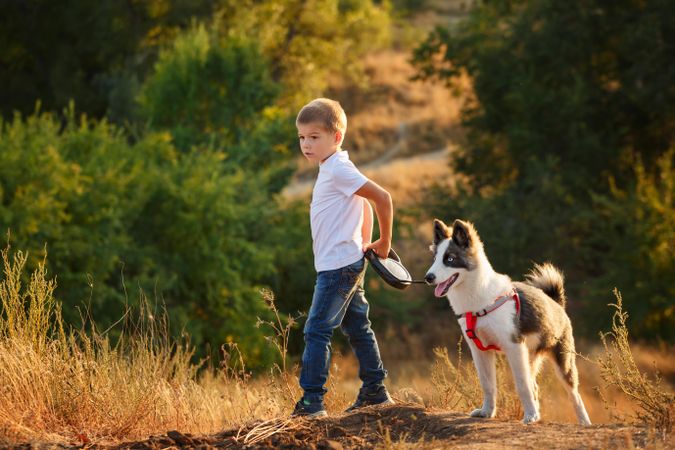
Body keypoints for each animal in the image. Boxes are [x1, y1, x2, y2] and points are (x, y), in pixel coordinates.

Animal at [428, 219, 592, 426]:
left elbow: (521, 385)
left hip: (562, 360)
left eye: (450, 259)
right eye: (434, 259)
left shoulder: (513, 347)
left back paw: (583, 422)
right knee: (534, 385)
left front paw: (530, 416)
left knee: (574, 395)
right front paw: (487, 411)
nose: (428, 277)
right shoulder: (480, 351)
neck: (480, 301)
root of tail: (556, 303)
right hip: (530, 357)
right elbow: (488, 384)